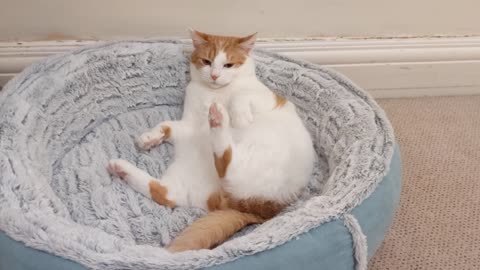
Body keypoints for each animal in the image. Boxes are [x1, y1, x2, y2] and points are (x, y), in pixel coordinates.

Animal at [108, 30, 316, 252]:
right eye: (207, 61)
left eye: (228, 65)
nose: (215, 75)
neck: (214, 93)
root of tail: (261, 210)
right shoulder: (188, 127)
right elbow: (166, 126)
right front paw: (149, 138)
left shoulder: (264, 99)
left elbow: (240, 95)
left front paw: (239, 117)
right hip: (190, 181)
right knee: (165, 192)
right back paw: (120, 167)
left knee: (226, 161)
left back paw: (218, 118)